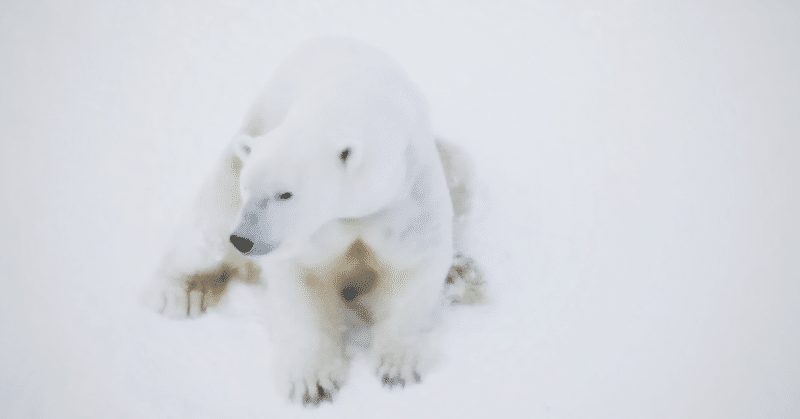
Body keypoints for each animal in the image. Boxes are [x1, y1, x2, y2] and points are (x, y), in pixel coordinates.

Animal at [147, 37, 478, 406]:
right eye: (249, 187)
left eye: (285, 193)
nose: (244, 240)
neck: (356, 97)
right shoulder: (303, 230)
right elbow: (301, 280)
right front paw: (312, 383)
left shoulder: (405, 194)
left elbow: (414, 264)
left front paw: (397, 368)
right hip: (231, 166)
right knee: (207, 226)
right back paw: (181, 294)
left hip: (450, 160)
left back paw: (462, 275)